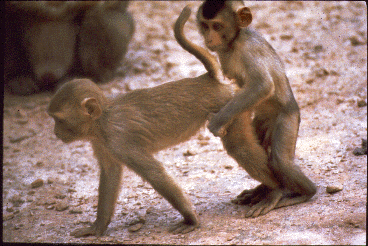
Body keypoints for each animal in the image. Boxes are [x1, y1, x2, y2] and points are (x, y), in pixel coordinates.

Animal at [48, 6, 233, 236]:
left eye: (60, 121)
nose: (55, 132)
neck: (102, 122)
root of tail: (205, 79)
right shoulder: (101, 143)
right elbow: (110, 174)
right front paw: (97, 226)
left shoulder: (121, 140)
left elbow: (155, 174)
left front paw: (190, 219)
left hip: (223, 100)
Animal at [196, 0, 316, 217]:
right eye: (205, 26)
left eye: (216, 26)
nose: (208, 38)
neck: (234, 41)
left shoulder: (248, 50)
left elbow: (262, 86)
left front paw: (217, 122)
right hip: (261, 122)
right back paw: (263, 190)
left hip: (288, 118)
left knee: (280, 161)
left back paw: (299, 193)